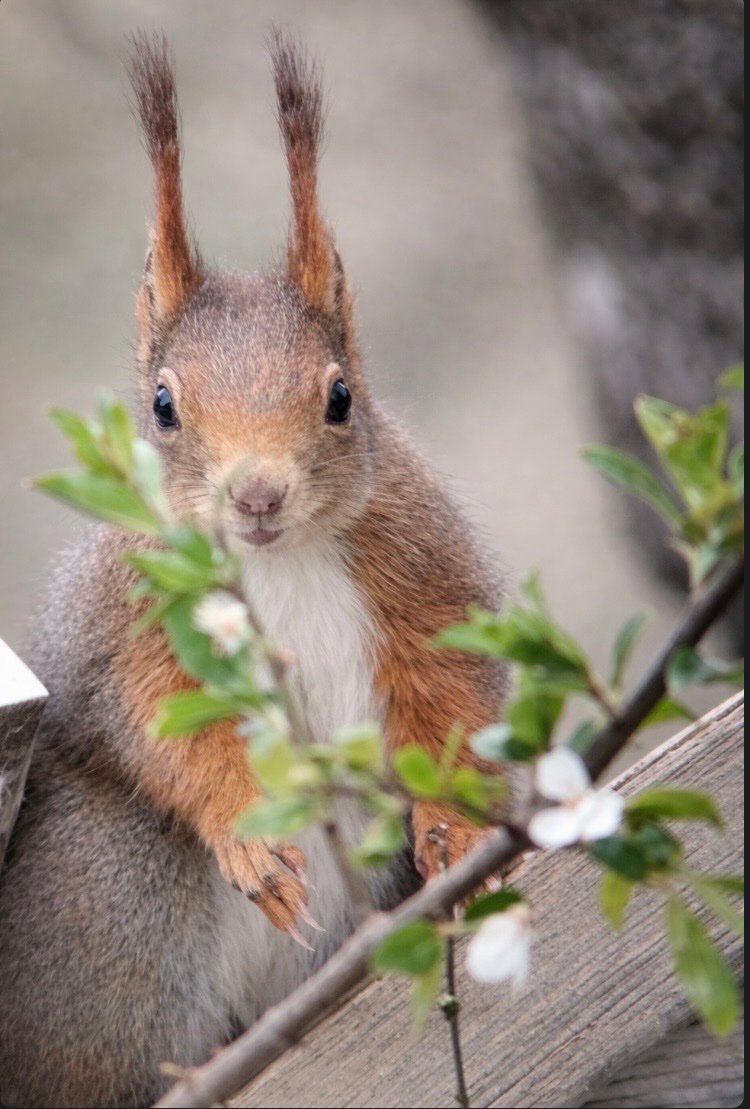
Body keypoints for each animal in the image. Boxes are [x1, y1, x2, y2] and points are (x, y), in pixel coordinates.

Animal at [0, 32, 506, 1109]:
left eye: (342, 396)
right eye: (161, 406)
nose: (258, 496)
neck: (280, 565)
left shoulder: (424, 573)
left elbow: (449, 691)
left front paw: (453, 828)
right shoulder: (130, 624)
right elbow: (162, 722)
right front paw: (251, 837)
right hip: (113, 908)